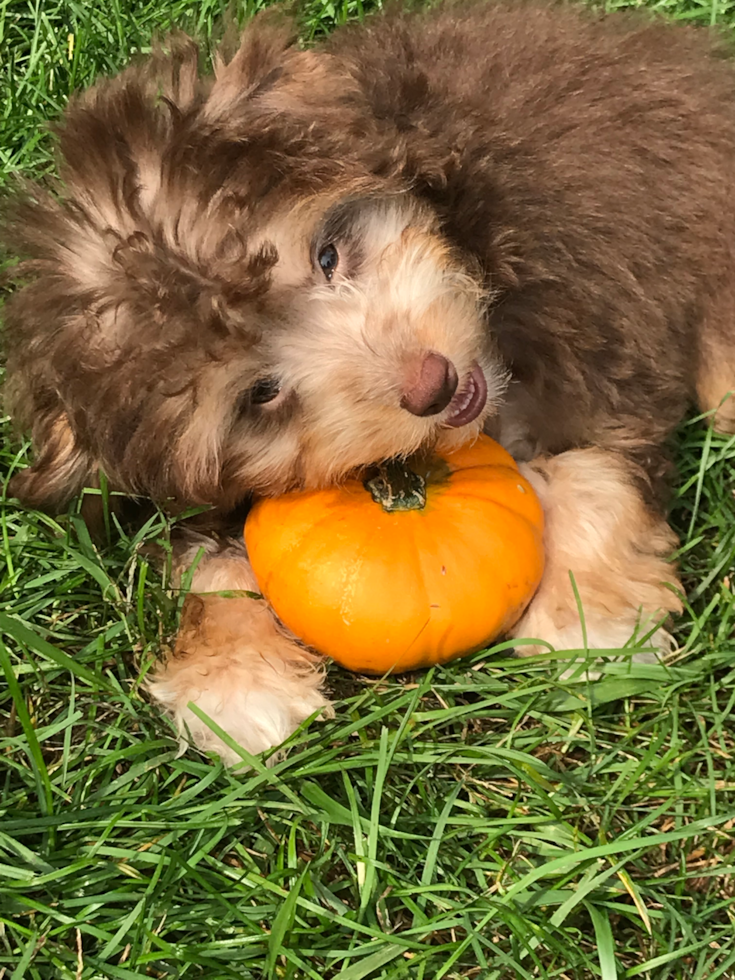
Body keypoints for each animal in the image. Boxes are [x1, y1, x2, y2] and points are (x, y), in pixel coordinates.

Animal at [2, 0, 732, 760]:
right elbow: (207, 562)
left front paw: (589, 622)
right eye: (260, 393)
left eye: (327, 256)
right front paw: (235, 680)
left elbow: (592, 470)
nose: (431, 385)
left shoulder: (595, 332)